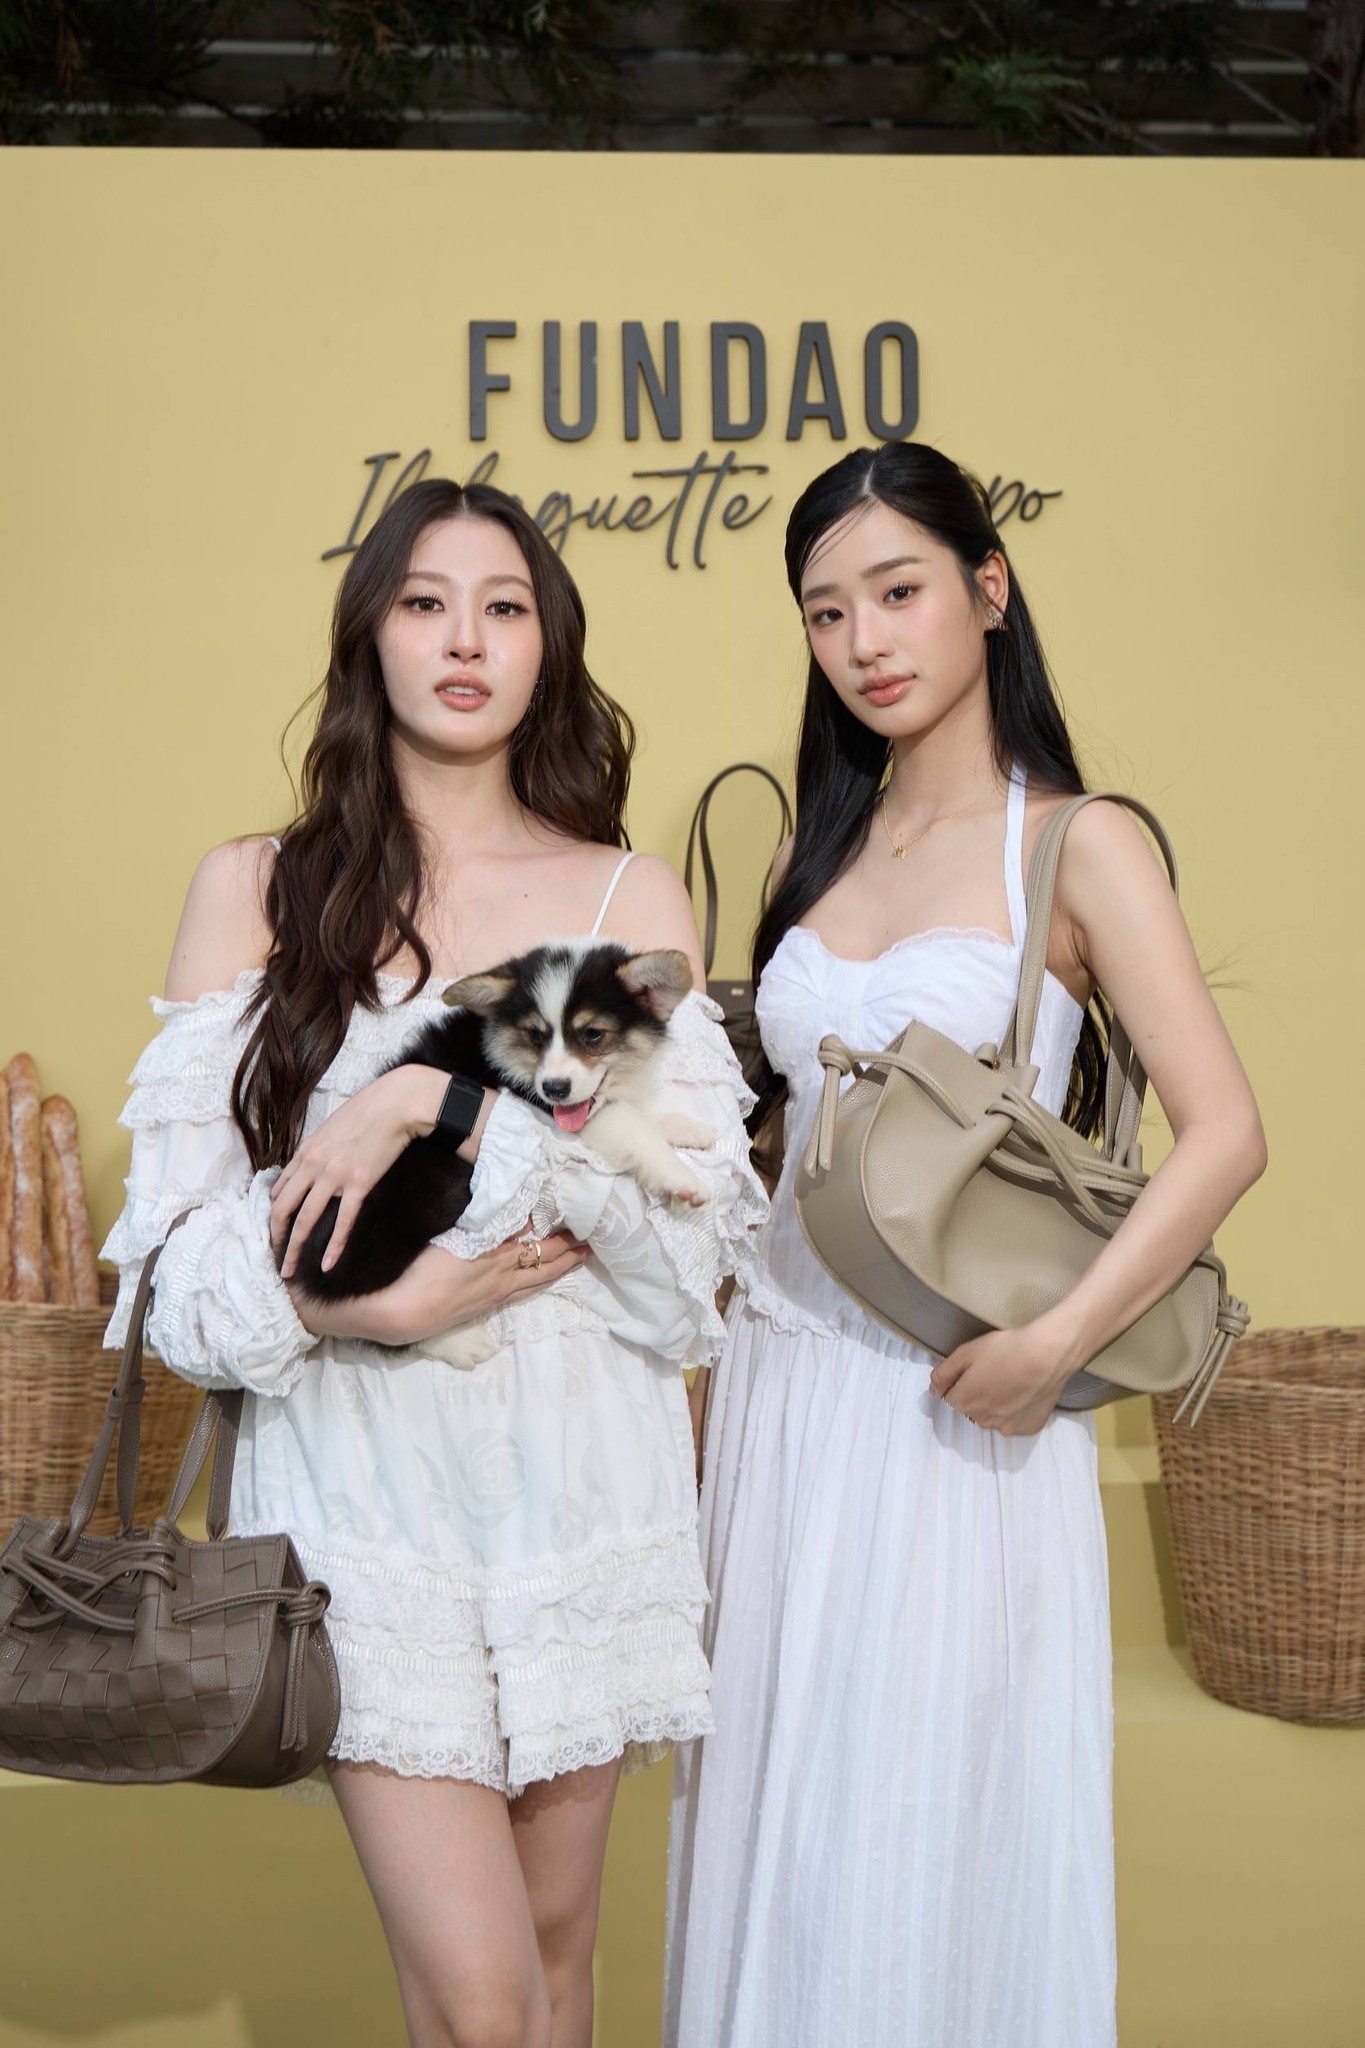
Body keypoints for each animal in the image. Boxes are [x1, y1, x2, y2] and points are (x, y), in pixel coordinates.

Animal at [283, 941, 713, 1367]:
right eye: (535, 1035)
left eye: (592, 1034)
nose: (555, 1088)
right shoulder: (562, 1117)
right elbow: (631, 1126)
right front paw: (681, 1180)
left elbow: (638, 1111)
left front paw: (687, 1128)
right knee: (374, 1317)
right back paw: (460, 1342)